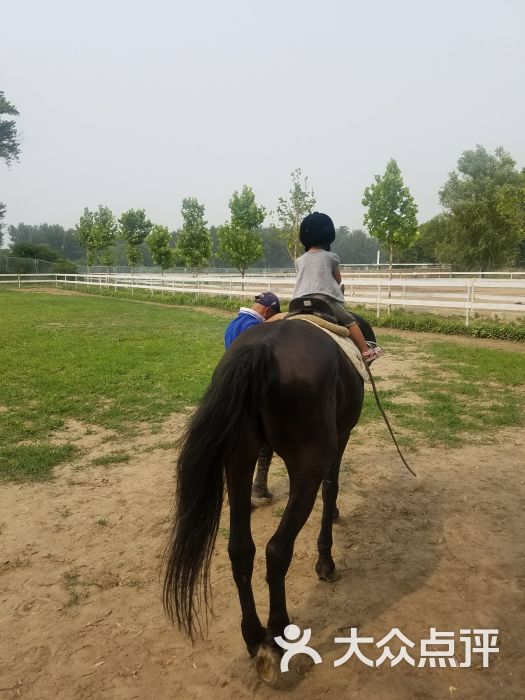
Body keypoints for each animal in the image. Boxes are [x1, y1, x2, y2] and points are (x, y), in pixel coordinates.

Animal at [163, 313, 376, 682]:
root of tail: (262, 348)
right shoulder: (341, 436)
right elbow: (331, 486)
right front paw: (326, 559)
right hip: (306, 466)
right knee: (277, 549)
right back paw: (276, 638)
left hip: (237, 460)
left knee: (240, 549)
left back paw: (252, 635)